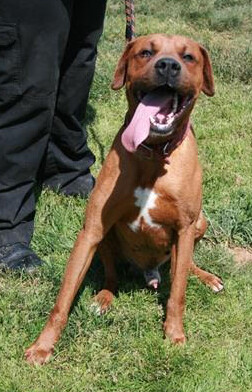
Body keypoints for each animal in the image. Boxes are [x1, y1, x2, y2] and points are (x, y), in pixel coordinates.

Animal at [25, 33, 222, 364]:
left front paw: (175, 334)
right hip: (107, 240)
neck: (153, 154)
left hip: (200, 223)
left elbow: (178, 293)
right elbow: (63, 299)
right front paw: (43, 345)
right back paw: (104, 298)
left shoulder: (184, 228)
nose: (168, 65)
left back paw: (205, 277)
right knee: (112, 277)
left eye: (188, 57)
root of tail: (149, 273)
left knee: (182, 266)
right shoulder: (91, 229)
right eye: (145, 52)